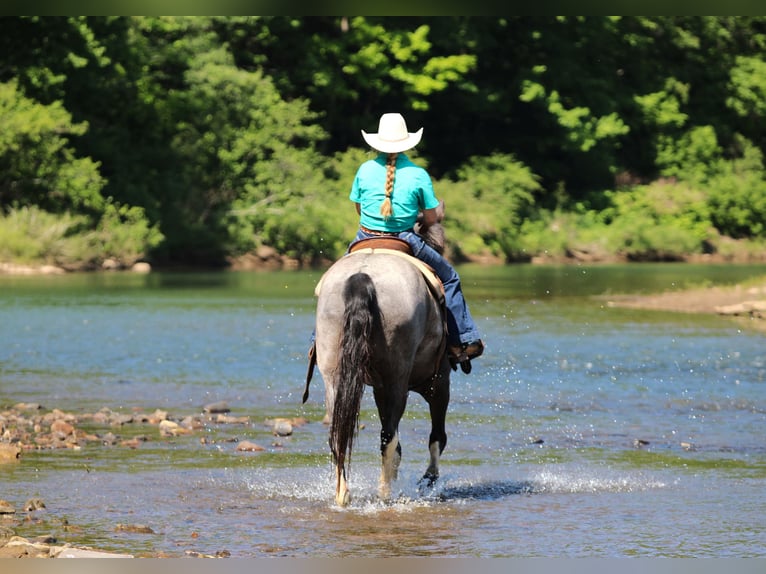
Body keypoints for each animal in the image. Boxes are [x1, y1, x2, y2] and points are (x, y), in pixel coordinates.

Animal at [308, 239, 452, 506]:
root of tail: (362, 277)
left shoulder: (379, 388)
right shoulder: (438, 382)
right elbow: (437, 436)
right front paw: (429, 479)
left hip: (334, 378)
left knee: (338, 433)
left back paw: (343, 494)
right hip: (398, 378)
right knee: (389, 436)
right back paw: (385, 493)